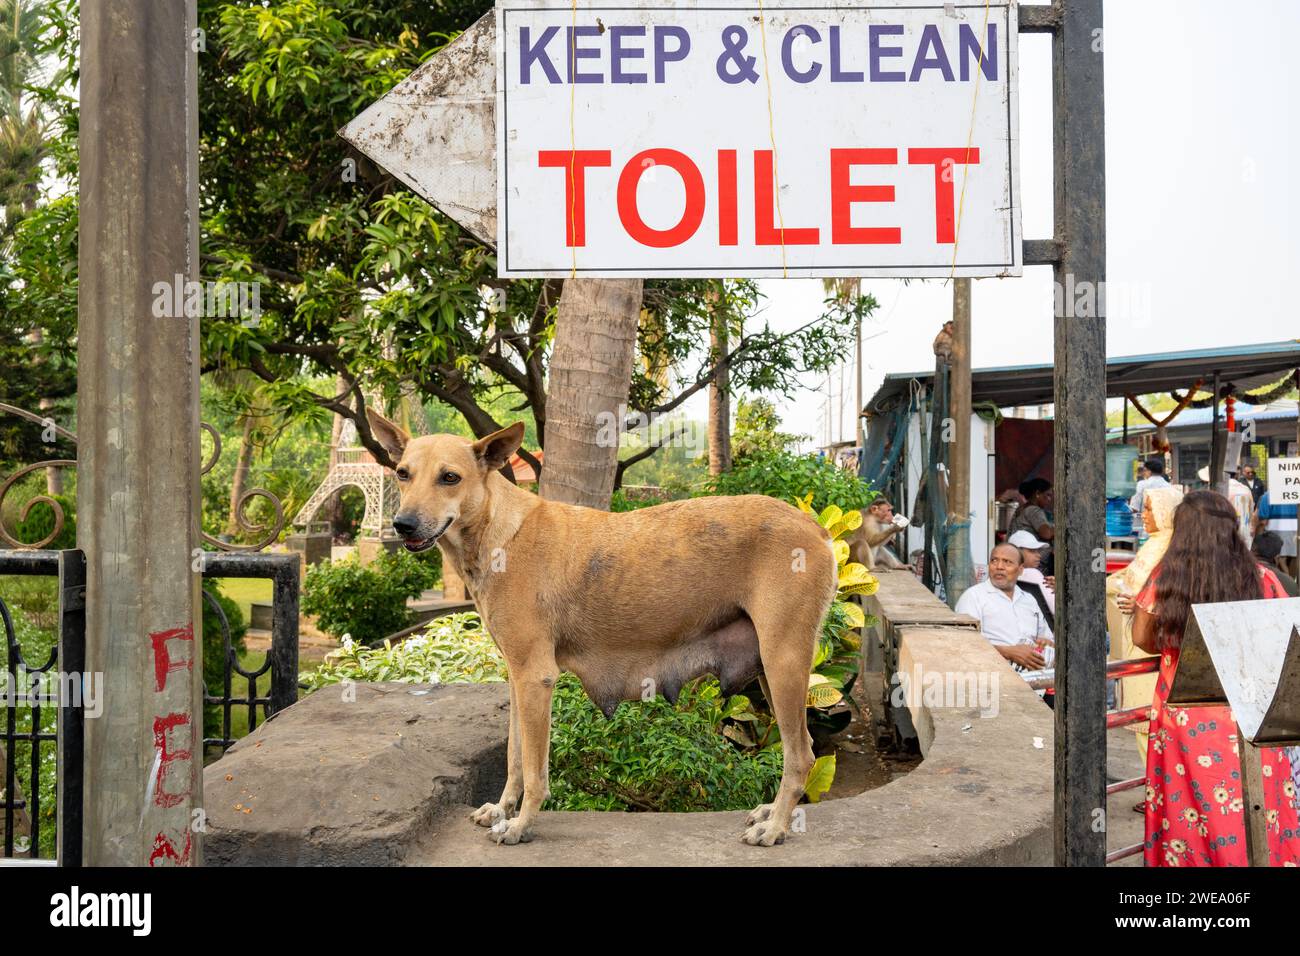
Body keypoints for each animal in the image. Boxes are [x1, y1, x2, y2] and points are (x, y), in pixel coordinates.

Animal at [369, 416, 832, 848]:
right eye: (402, 474)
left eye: (450, 477)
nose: (402, 524)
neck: (498, 530)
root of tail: (816, 528)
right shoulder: (517, 679)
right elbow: (514, 757)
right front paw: (501, 809)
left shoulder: (535, 678)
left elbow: (534, 770)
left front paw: (521, 823)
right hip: (769, 670)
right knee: (797, 750)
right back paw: (773, 812)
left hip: (783, 663)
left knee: (801, 754)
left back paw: (776, 826)